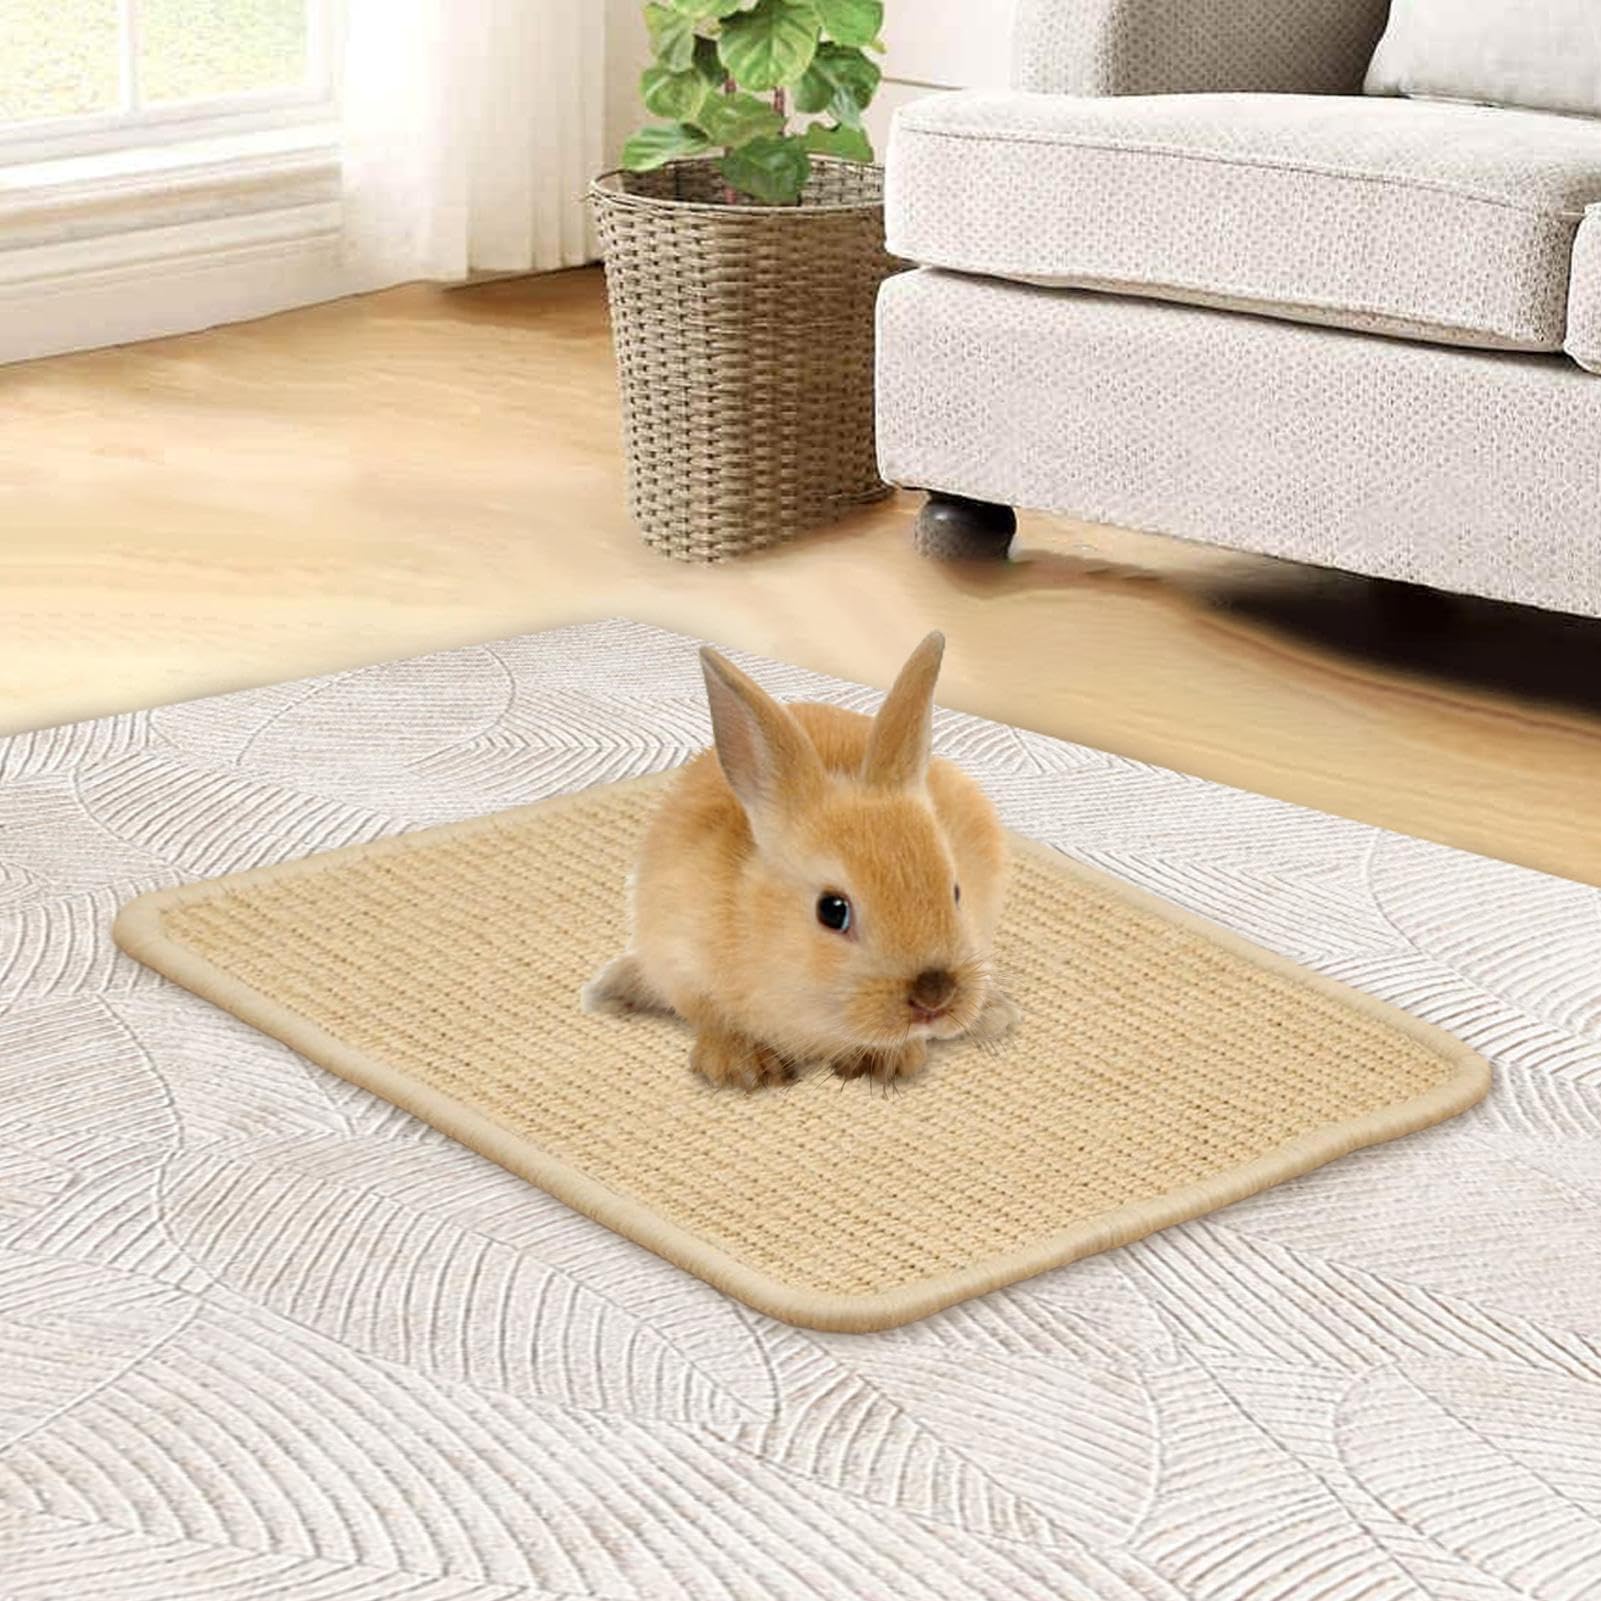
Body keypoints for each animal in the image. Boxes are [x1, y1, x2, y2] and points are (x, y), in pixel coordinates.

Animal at [582, 632, 1018, 1089]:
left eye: (955, 892)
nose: (935, 996)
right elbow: (713, 1019)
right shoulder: (680, 959)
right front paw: (742, 1067)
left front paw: (889, 1061)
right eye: (832, 910)